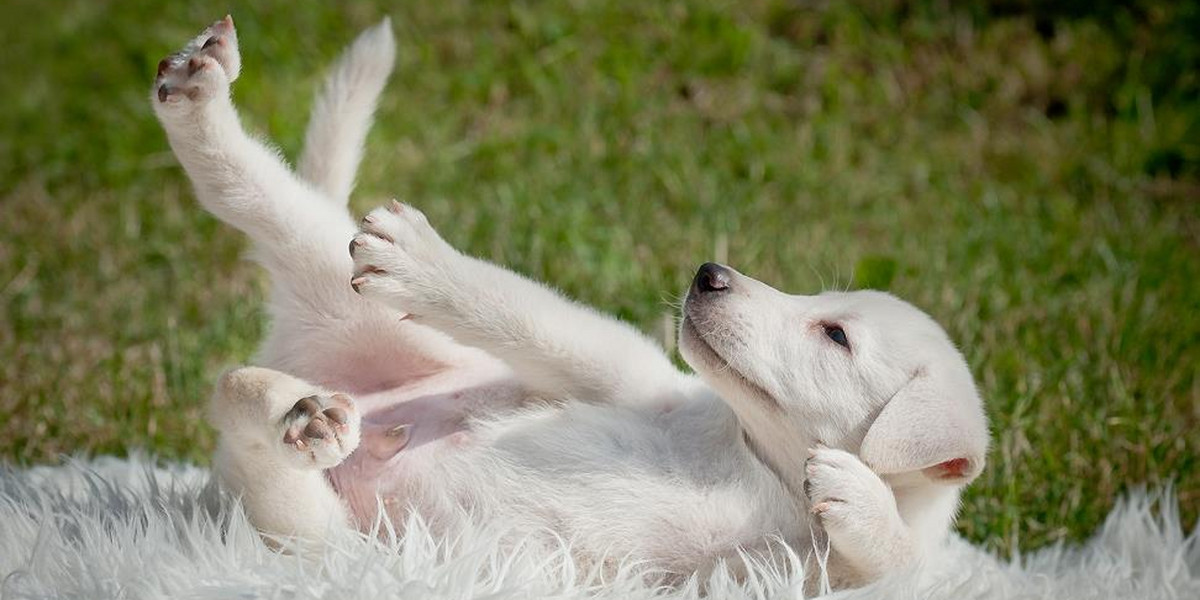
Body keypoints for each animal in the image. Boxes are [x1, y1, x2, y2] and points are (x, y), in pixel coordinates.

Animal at [152, 15, 984, 590]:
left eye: (834, 335)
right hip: (347, 302)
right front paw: (426, 263)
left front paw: (862, 501)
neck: (759, 463)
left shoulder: (753, 582)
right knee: (249, 199)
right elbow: (518, 307)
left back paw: (298, 414)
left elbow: (898, 564)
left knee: (233, 391)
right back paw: (198, 98)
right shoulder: (620, 369)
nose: (709, 274)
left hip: (316, 540)